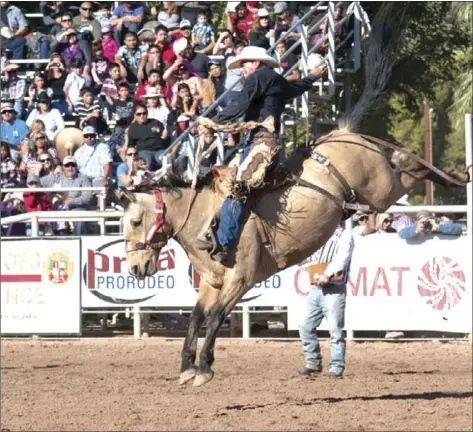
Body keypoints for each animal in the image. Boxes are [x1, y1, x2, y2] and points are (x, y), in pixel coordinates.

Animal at [119, 5, 468, 386]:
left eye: (135, 221)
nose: (135, 267)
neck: (203, 218)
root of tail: (342, 134)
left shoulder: (240, 280)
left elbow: (214, 318)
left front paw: (205, 367)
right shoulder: (211, 282)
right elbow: (197, 317)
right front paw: (186, 367)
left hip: (381, 189)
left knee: (407, 167)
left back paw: (454, 176)